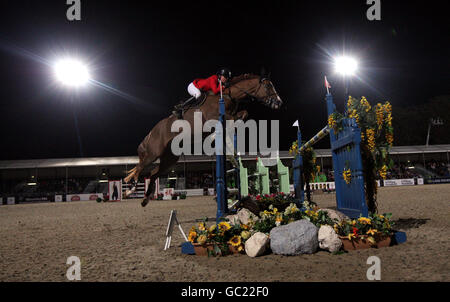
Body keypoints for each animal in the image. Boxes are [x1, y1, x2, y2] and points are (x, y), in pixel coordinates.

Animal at [123, 72, 284, 206]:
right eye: (268, 86)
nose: (279, 102)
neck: (227, 95)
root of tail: (152, 132)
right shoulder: (217, 117)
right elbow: (233, 119)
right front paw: (214, 137)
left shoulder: (232, 115)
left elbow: (243, 114)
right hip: (153, 153)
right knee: (140, 168)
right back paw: (130, 190)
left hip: (170, 158)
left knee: (153, 173)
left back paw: (145, 199)